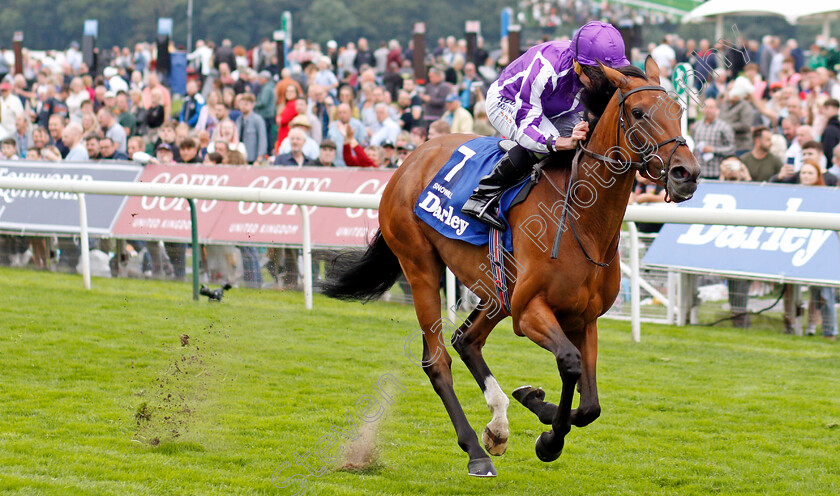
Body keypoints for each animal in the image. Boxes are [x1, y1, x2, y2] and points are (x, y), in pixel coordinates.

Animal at [324, 57, 704, 476]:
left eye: (679, 111)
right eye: (638, 113)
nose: (687, 173)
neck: (583, 222)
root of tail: (410, 159)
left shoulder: (584, 318)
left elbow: (590, 406)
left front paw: (535, 404)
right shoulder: (530, 311)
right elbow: (569, 363)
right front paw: (549, 440)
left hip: (496, 290)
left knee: (466, 340)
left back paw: (498, 425)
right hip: (421, 266)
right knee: (437, 360)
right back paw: (476, 451)